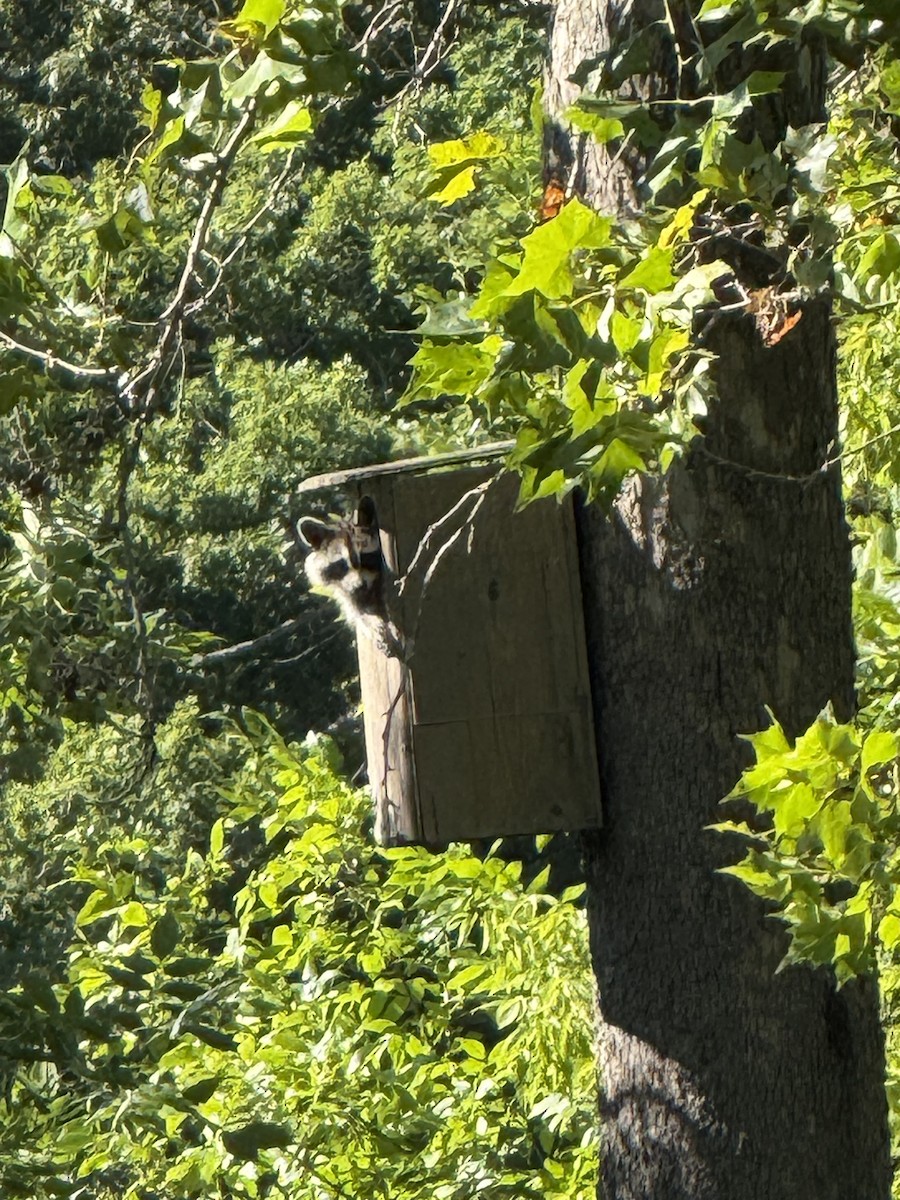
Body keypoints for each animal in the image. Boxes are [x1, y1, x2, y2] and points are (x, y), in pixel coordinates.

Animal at [298, 496, 403, 657]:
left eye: (364, 557)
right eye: (341, 564)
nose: (358, 586)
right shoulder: (346, 591)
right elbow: (358, 611)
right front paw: (373, 624)